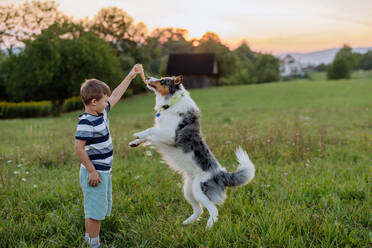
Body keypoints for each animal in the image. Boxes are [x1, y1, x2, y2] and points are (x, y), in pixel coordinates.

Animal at [129, 75, 256, 229]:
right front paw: (135, 142)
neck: (172, 102)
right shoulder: (162, 135)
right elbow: (150, 137)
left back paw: (208, 228)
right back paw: (186, 222)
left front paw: (138, 134)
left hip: (200, 191)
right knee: (199, 209)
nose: (148, 77)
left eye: (163, 81)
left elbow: (150, 130)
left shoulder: (170, 135)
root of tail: (221, 174)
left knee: (213, 210)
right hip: (188, 190)